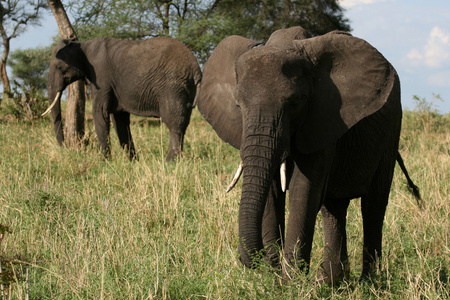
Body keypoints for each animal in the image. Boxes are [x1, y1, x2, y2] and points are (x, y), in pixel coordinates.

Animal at [44, 37, 201, 162]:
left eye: (59, 67)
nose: (65, 148)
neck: (82, 45)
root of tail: (196, 69)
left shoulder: (100, 78)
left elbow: (100, 112)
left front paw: (104, 162)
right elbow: (120, 120)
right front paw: (133, 162)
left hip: (172, 86)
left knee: (174, 123)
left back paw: (170, 161)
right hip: (184, 88)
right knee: (183, 123)